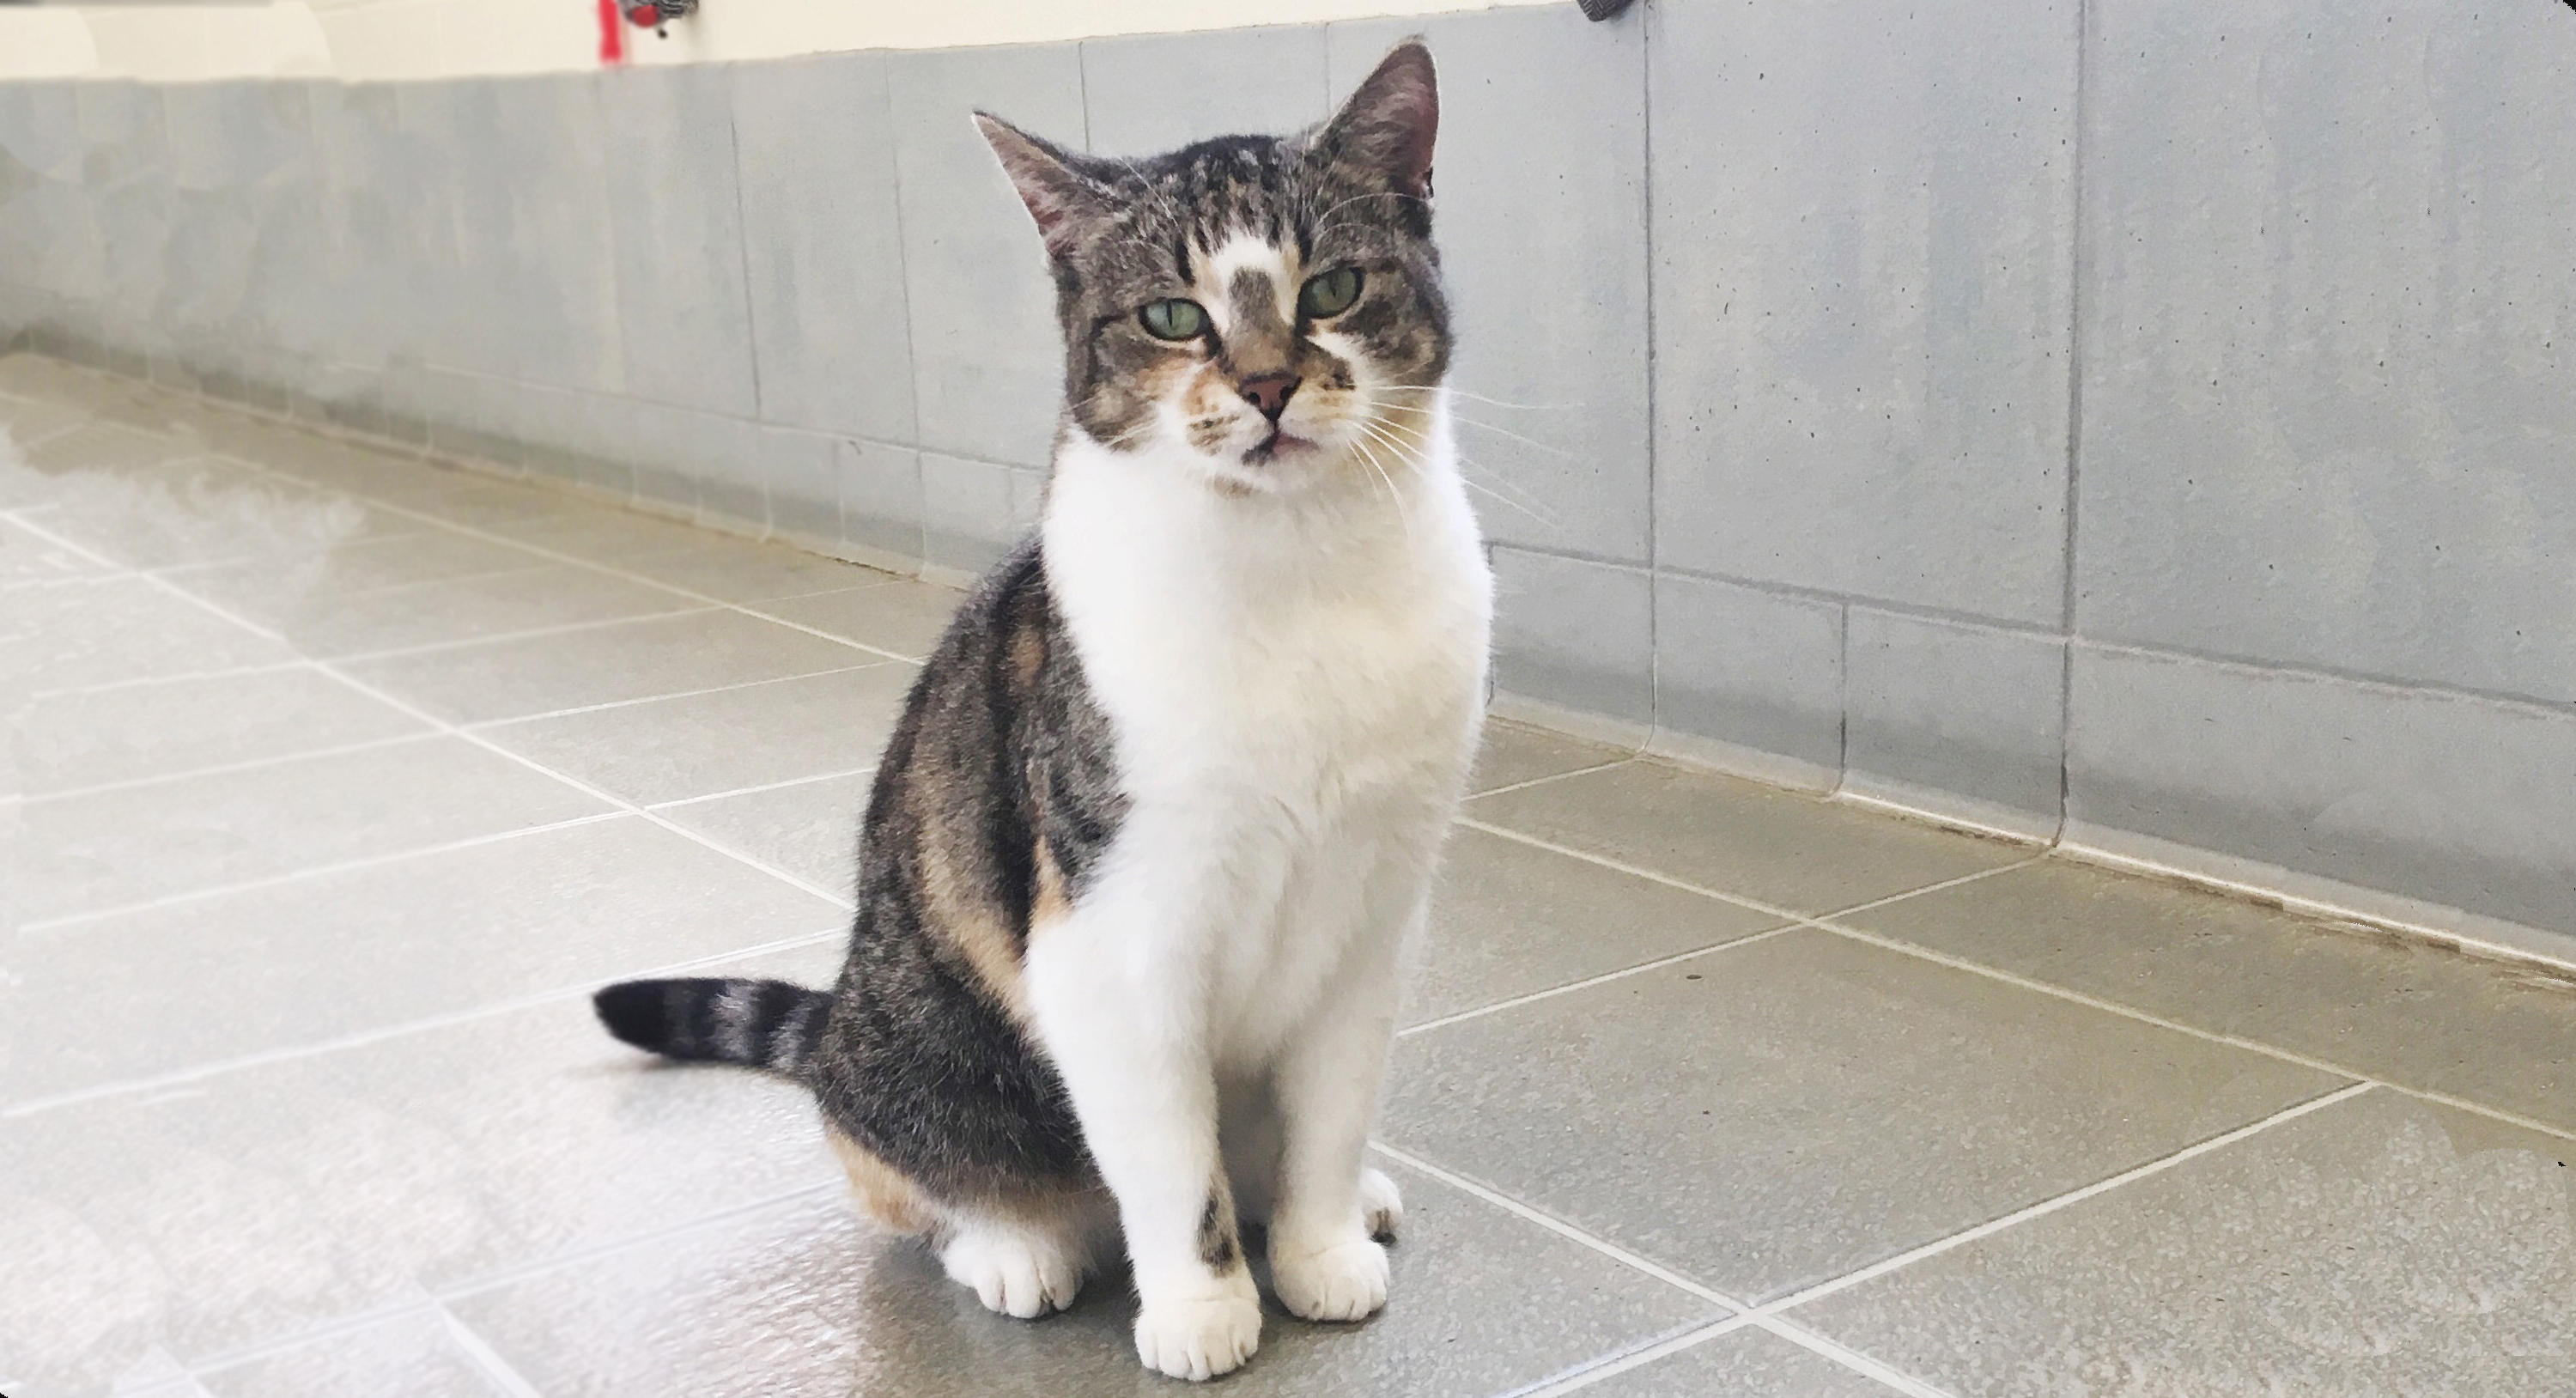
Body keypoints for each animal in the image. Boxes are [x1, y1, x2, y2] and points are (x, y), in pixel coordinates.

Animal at [590, 38, 1494, 1380]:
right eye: (1172, 314)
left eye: (1332, 288)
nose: (1269, 383)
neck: (1297, 577)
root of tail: (836, 1020)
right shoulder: (1111, 941)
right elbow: (1170, 1162)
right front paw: (1201, 1309)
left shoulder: (1374, 917)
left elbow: (1330, 1109)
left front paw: (1322, 1244)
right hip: (923, 1056)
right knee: (920, 1176)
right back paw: (1015, 1247)